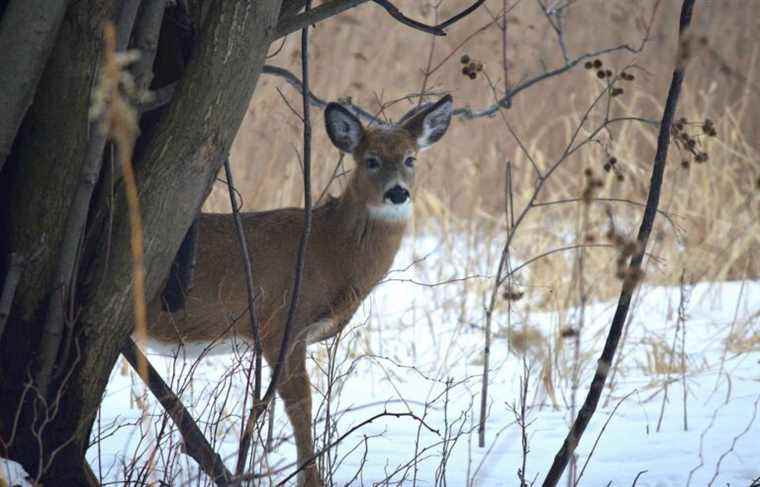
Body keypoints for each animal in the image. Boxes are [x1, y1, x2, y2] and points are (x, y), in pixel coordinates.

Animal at [141, 93, 452, 486]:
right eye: (371, 160)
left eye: (411, 158)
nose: (398, 192)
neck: (329, 250)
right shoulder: (281, 323)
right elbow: (300, 406)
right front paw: (312, 479)